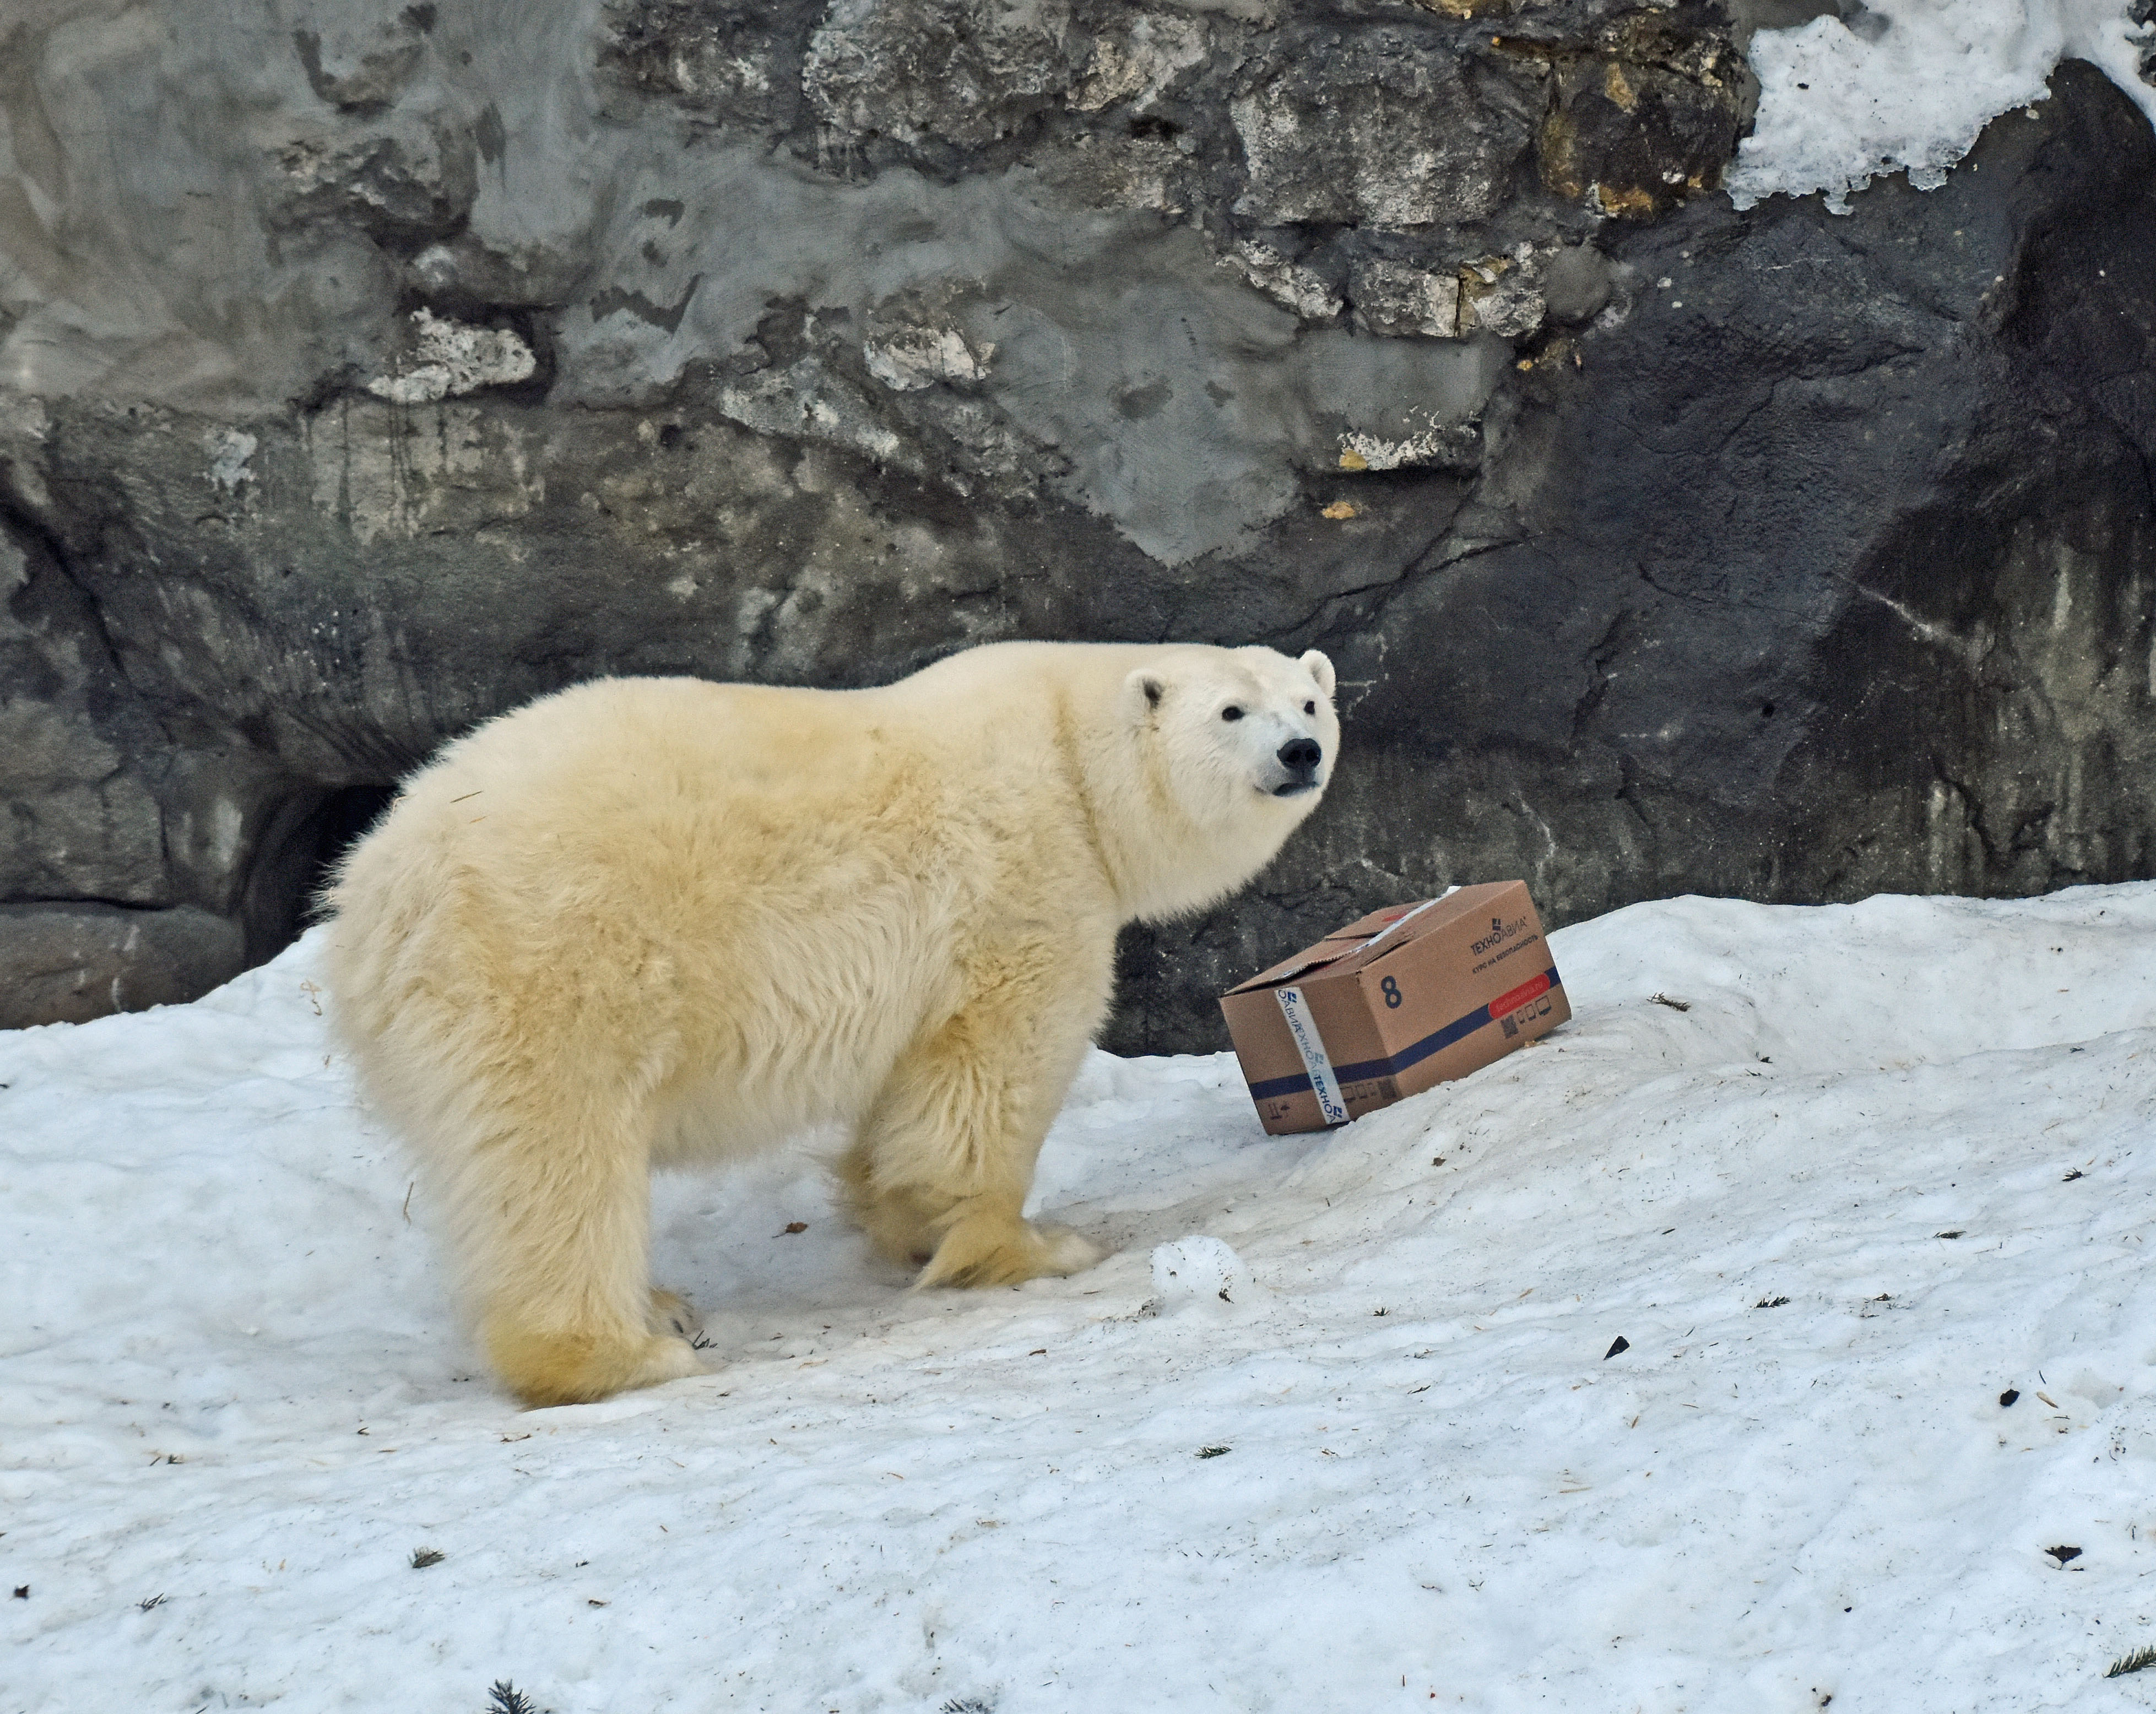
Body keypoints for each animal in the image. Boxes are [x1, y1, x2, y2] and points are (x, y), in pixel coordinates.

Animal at [323, 642, 1328, 1406]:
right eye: (1232, 711)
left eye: (1311, 698)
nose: (1301, 751)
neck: (1071, 755)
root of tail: (371, 899)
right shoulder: (1025, 881)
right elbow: (991, 1066)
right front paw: (1029, 1246)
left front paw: (902, 1219)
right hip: (552, 964)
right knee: (556, 1160)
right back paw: (627, 1350)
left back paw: (659, 1306)